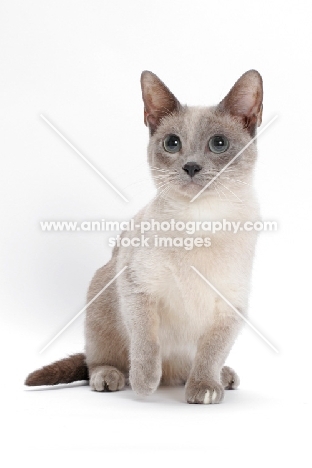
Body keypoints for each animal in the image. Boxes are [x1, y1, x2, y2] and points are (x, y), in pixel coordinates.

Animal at [25, 68, 264, 402]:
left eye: (218, 143)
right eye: (172, 143)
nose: (191, 166)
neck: (199, 222)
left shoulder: (231, 304)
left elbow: (212, 352)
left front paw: (204, 387)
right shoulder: (137, 287)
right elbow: (146, 342)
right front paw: (144, 383)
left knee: (191, 365)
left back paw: (220, 377)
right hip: (102, 297)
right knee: (96, 361)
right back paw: (113, 378)